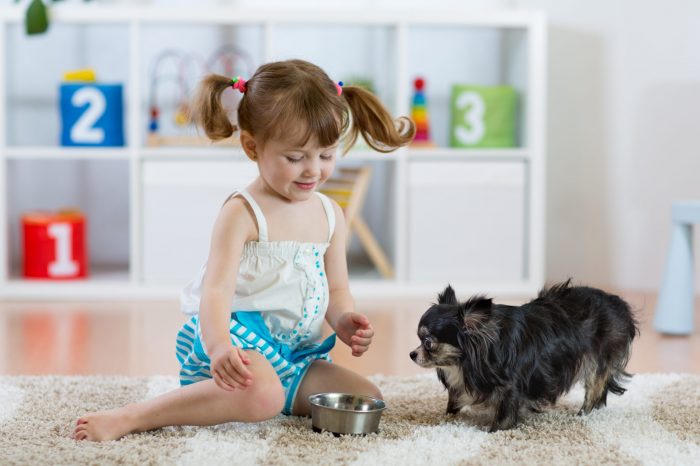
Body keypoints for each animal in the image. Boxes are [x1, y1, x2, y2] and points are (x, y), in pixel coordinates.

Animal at [410, 278, 640, 432]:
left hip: (597, 360)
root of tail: (619, 304)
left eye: (428, 343)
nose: (412, 354)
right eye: (419, 340)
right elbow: (453, 402)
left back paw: (583, 414)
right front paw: (447, 416)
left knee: (595, 387)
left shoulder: (510, 387)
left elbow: (503, 415)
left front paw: (493, 431)